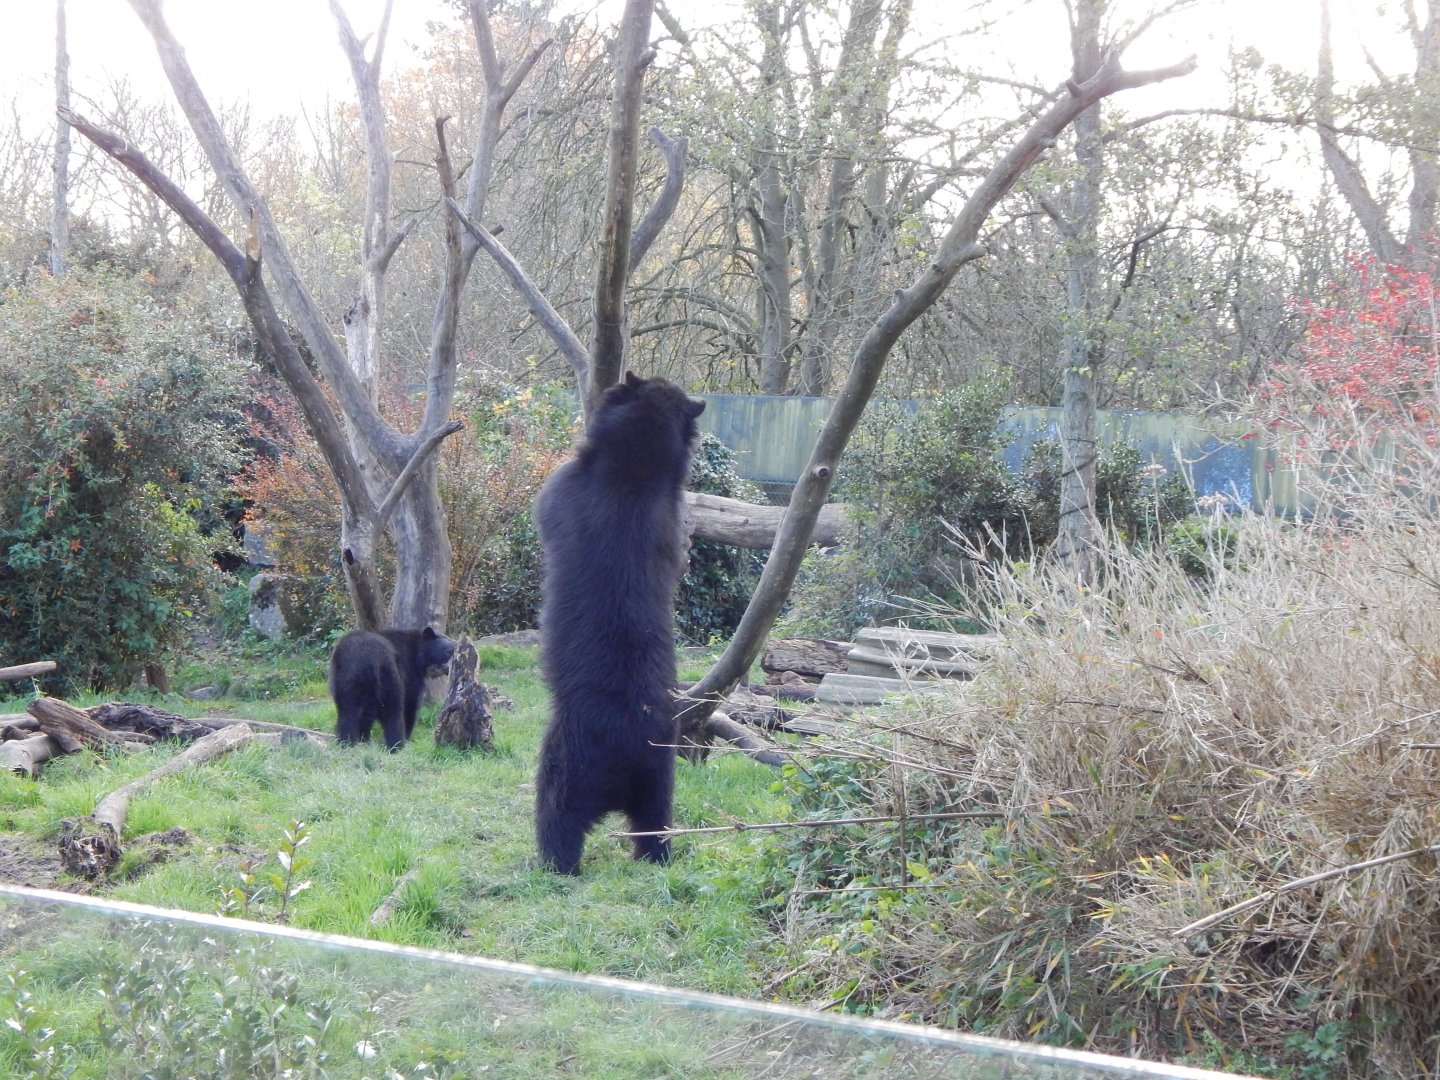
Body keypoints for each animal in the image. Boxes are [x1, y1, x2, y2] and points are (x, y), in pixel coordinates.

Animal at [328, 626, 457, 751]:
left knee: (347, 711)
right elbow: (410, 702)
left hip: (344, 680)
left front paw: (363, 738)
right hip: (388, 674)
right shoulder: (409, 671)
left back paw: (345, 742)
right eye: (449, 652)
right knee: (393, 710)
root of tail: (363, 658)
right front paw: (407, 735)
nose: (449, 669)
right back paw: (397, 745)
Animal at [533, 373, 706, 874]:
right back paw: (656, 857)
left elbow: (545, 505)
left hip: (567, 758)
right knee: (656, 821)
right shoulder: (674, 516)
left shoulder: (566, 489)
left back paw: (553, 865)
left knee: (556, 814)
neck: (636, 470)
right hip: (661, 775)